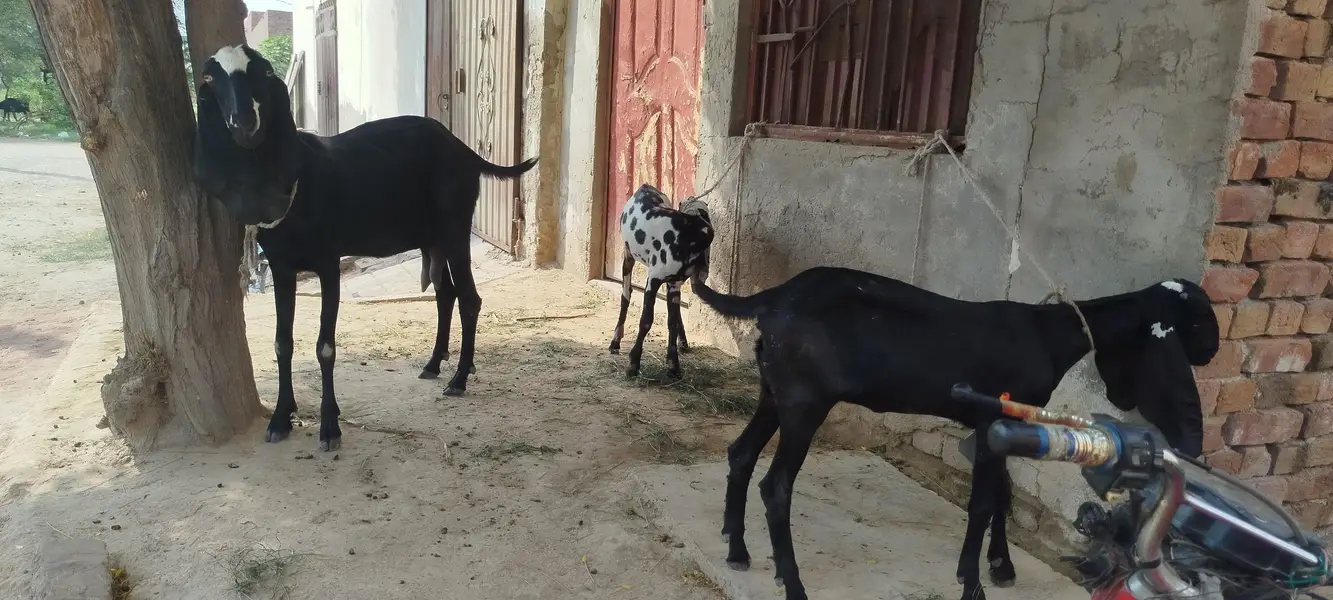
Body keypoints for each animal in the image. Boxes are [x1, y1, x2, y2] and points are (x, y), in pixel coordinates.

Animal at [192, 45, 538, 452]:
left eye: (264, 72)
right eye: (210, 78)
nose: (244, 123)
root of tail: (466, 151)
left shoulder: (327, 262)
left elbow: (325, 346)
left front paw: (329, 427)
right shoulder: (281, 267)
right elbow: (281, 343)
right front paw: (281, 417)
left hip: (454, 230)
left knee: (469, 298)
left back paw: (459, 379)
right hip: (434, 238)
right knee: (446, 294)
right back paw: (435, 364)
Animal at [608, 184, 714, 378]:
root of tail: (646, 186)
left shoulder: (674, 284)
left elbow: (673, 321)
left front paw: (673, 364)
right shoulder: (653, 280)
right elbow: (646, 320)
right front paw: (633, 363)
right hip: (628, 256)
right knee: (626, 295)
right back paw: (615, 341)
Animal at [690, 266, 1220, 600]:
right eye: (1192, 327)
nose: (1215, 351)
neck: (1048, 335)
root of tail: (774, 298)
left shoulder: (1004, 424)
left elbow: (1001, 494)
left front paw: (1000, 567)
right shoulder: (991, 420)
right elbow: (983, 501)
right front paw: (971, 583)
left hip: (774, 392)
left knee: (741, 453)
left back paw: (737, 549)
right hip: (805, 404)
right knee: (776, 486)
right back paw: (794, 584)